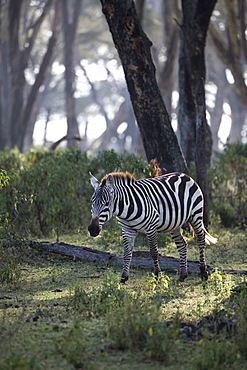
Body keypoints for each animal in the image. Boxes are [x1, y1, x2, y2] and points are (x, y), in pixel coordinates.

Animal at [88, 172, 217, 282]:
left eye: (107, 203)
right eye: (92, 202)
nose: (92, 229)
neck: (126, 211)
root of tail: (184, 175)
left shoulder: (151, 228)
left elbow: (154, 252)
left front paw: (157, 276)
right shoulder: (127, 230)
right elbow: (127, 254)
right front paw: (124, 277)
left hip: (196, 215)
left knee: (201, 240)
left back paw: (204, 273)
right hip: (174, 224)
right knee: (182, 244)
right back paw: (182, 275)